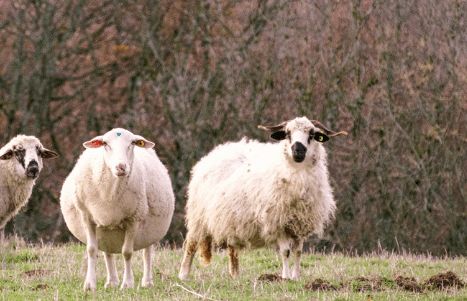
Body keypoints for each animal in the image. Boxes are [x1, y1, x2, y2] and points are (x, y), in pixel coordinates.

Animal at [59, 127, 175, 290]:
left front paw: (127, 284)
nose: (121, 167)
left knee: (147, 252)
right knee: (107, 251)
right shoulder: (86, 217)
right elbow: (91, 249)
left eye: (132, 143)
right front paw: (89, 285)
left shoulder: (134, 219)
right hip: (105, 229)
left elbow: (127, 252)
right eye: (105, 144)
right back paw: (112, 282)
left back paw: (147, 282)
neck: (110, 193)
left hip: (150, 228)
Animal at [179, 116, 348, 278]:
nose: (298, 150)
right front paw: (286, 277)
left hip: (231, 219)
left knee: (232, 249)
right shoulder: (278, 222)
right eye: (288, 133)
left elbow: (298, 252)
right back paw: (183, 275)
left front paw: (296, 276)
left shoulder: (300, 224)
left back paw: (235, 276)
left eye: (312, 134)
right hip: (198, 216)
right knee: (191, 244)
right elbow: (286, 252)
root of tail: (217, 151)